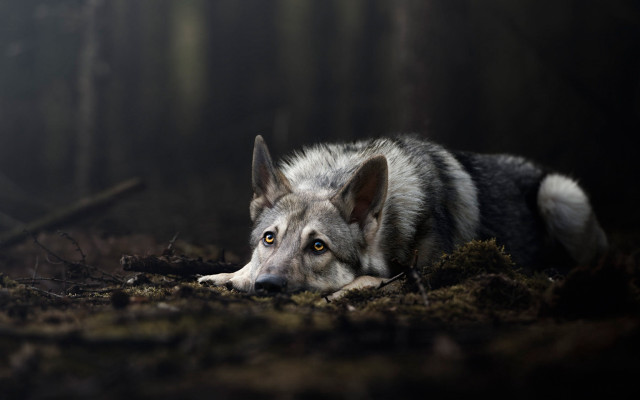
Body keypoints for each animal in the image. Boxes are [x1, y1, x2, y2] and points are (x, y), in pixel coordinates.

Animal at [198, 135, 608, 296]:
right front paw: (228, 276)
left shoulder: (425, 272)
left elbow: (370, 278)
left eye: (318, 247)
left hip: (560, 193)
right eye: (269, 238)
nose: (267, 287)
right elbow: (243, 268)